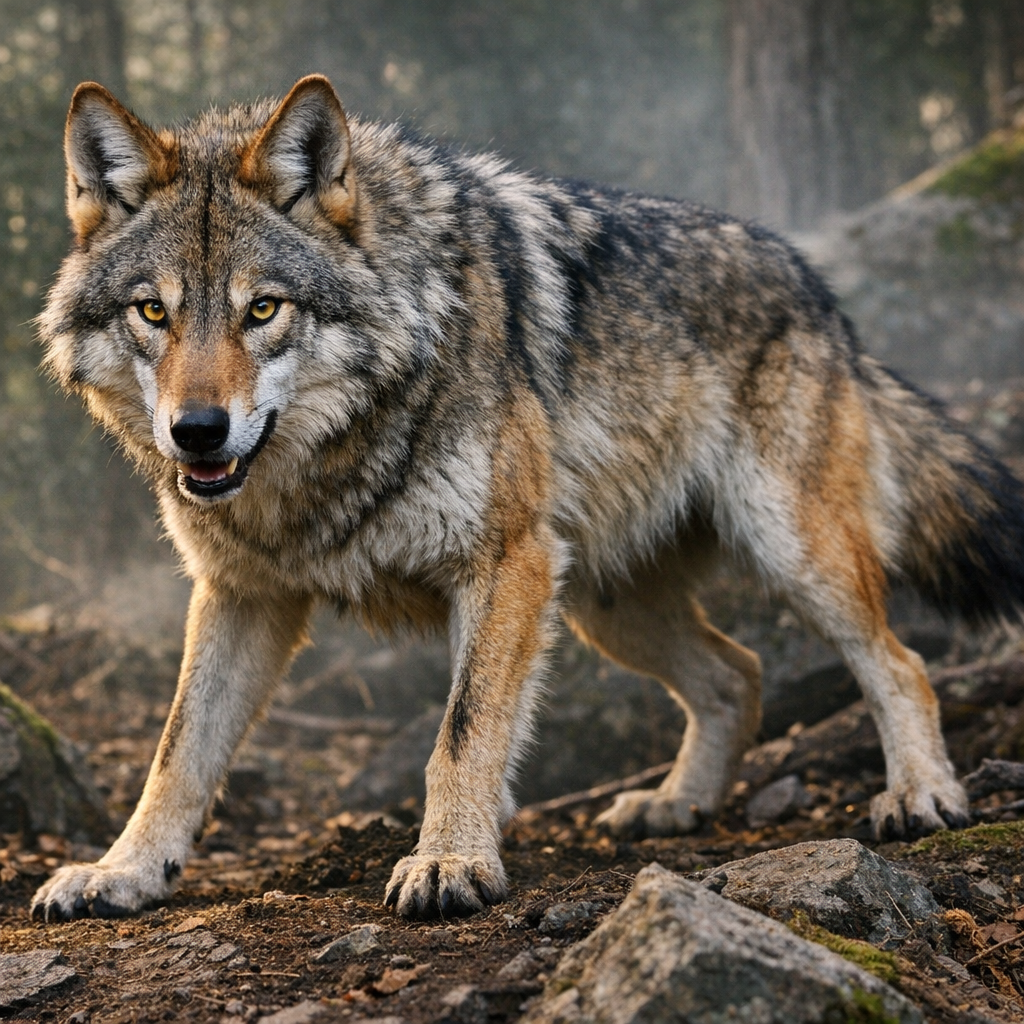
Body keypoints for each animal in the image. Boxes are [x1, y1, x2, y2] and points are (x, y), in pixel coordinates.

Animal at [31, 74, 1024, 921]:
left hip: (783, 554)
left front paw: (449, 862)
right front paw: (123, 872)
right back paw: (677, 804)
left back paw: (921, 795)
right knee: (737, 673)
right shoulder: (239, 595)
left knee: (898, 662)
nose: (196, 432)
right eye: (153, 313)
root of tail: (819, 288)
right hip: (598, 603)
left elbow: (463, 734)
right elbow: (177, 754)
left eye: (263, 309)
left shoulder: (504, 562)